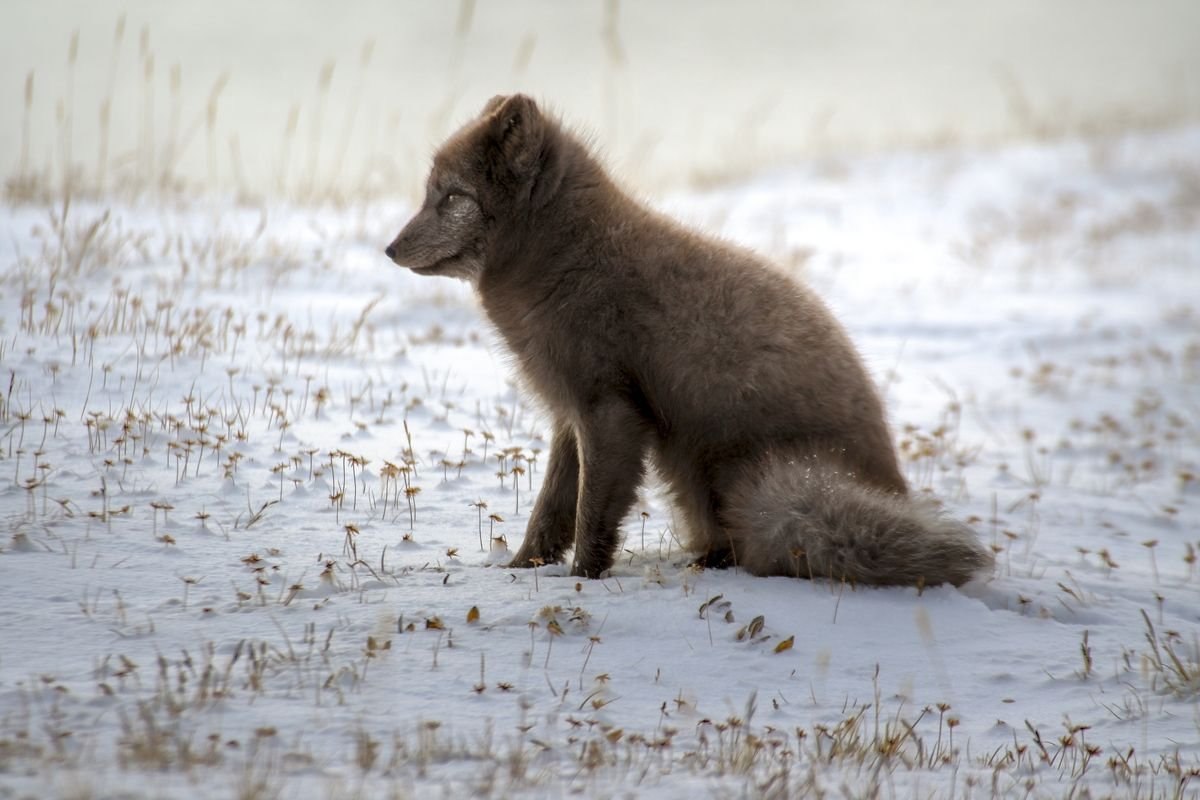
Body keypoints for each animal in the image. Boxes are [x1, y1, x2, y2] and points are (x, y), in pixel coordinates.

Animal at [384, 95, 993, 587]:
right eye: (431, 193)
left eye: (450, 197)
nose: (389, 249)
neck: (567, 258)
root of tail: (893, 488)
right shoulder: (568, 417)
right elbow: (550, 510)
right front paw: (521, 571)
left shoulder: (609, 412)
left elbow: (591, 514)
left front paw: (583, 579)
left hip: (751, 478)